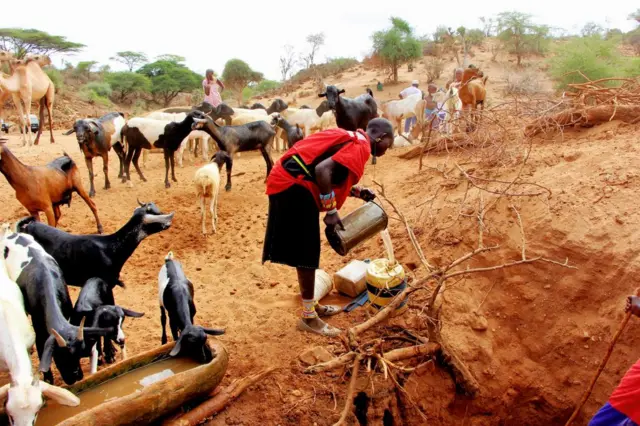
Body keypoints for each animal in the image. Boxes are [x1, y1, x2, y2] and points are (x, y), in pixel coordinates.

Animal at [0, 230, 110, 386]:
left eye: (78, 355)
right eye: (59, 356)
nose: (76, 376)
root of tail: (13, 233)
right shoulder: (39, 331)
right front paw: (48, 381)